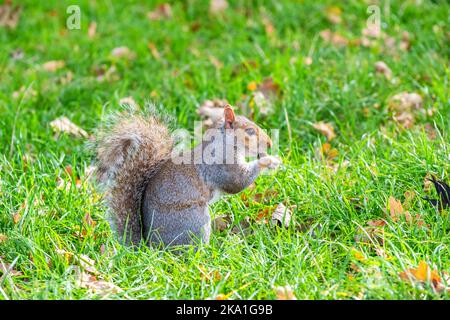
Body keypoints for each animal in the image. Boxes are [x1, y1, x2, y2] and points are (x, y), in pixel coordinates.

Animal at [96, 105, 282, 248]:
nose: (270, 143)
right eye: (250, 131)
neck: (224, 143)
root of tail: (152, 247)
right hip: (195, 222)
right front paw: (268, 161)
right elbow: (238, 183)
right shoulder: (222, 166)